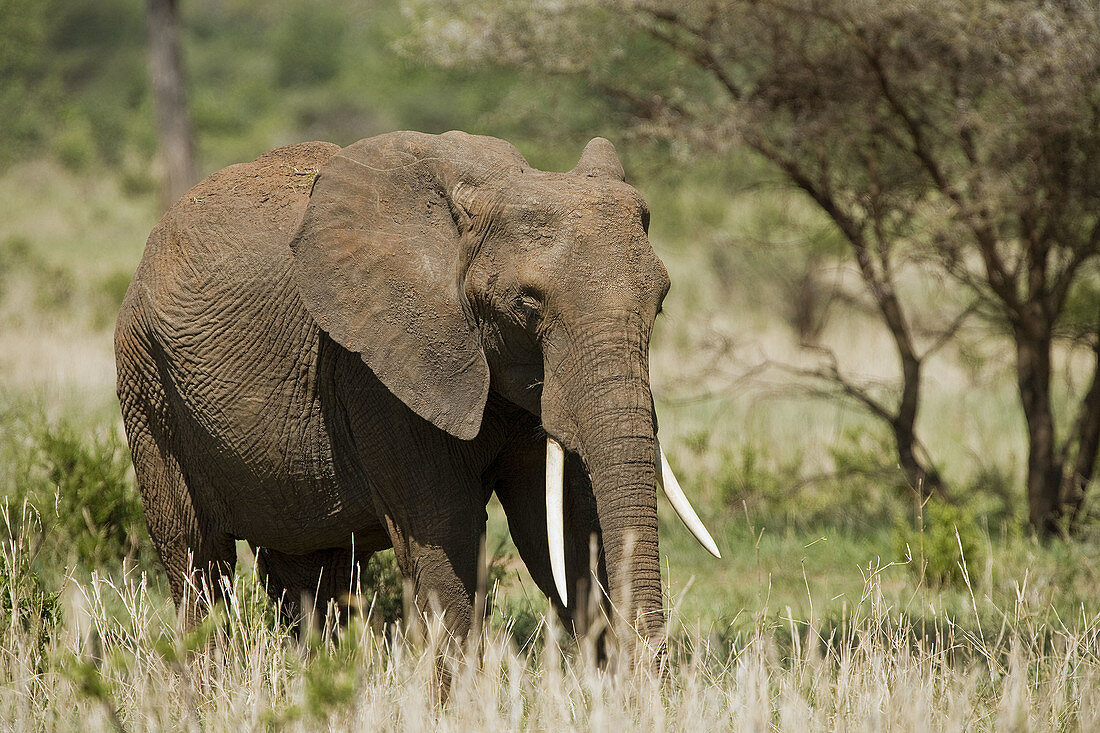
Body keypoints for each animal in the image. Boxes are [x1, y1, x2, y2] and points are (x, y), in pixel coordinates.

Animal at [113, 129, 721, 655]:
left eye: (660, 300)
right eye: (527, 303)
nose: (651, 664)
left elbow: (560, 526)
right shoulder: (375, 371)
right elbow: (446, 537)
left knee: (308, 574)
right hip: (147, 385)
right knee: (196, 560)